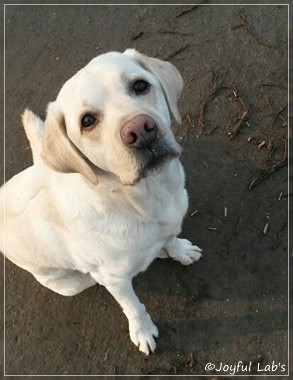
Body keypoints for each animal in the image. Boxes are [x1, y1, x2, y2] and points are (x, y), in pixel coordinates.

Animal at [1, 49, 202, 354]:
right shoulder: (115, 280)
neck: (143, 199)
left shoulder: (169, 223)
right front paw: (143, 331)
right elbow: (133, 307)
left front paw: (178, 250)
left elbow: (170, 238)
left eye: (140, 86)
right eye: (87, 121)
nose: (141, 130)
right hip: (70, 282)